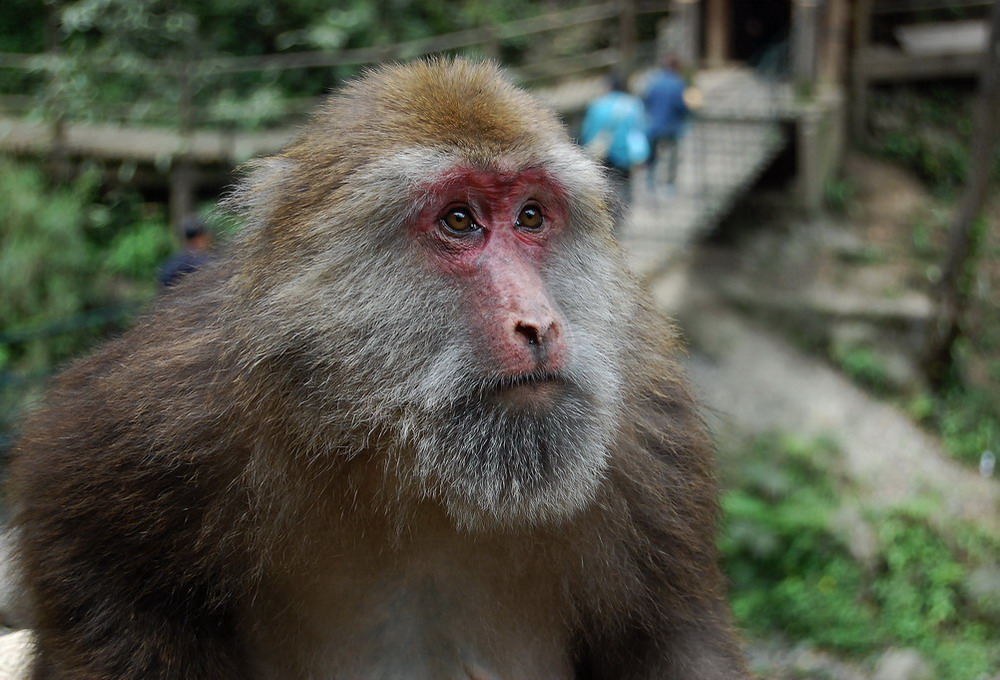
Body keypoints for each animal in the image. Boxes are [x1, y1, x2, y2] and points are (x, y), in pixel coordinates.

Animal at [9, 59, 752, 680]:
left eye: (532, 216)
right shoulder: (170, 409)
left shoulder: (652, 443)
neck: (418, 471)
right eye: (460, 220)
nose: (539, 324)